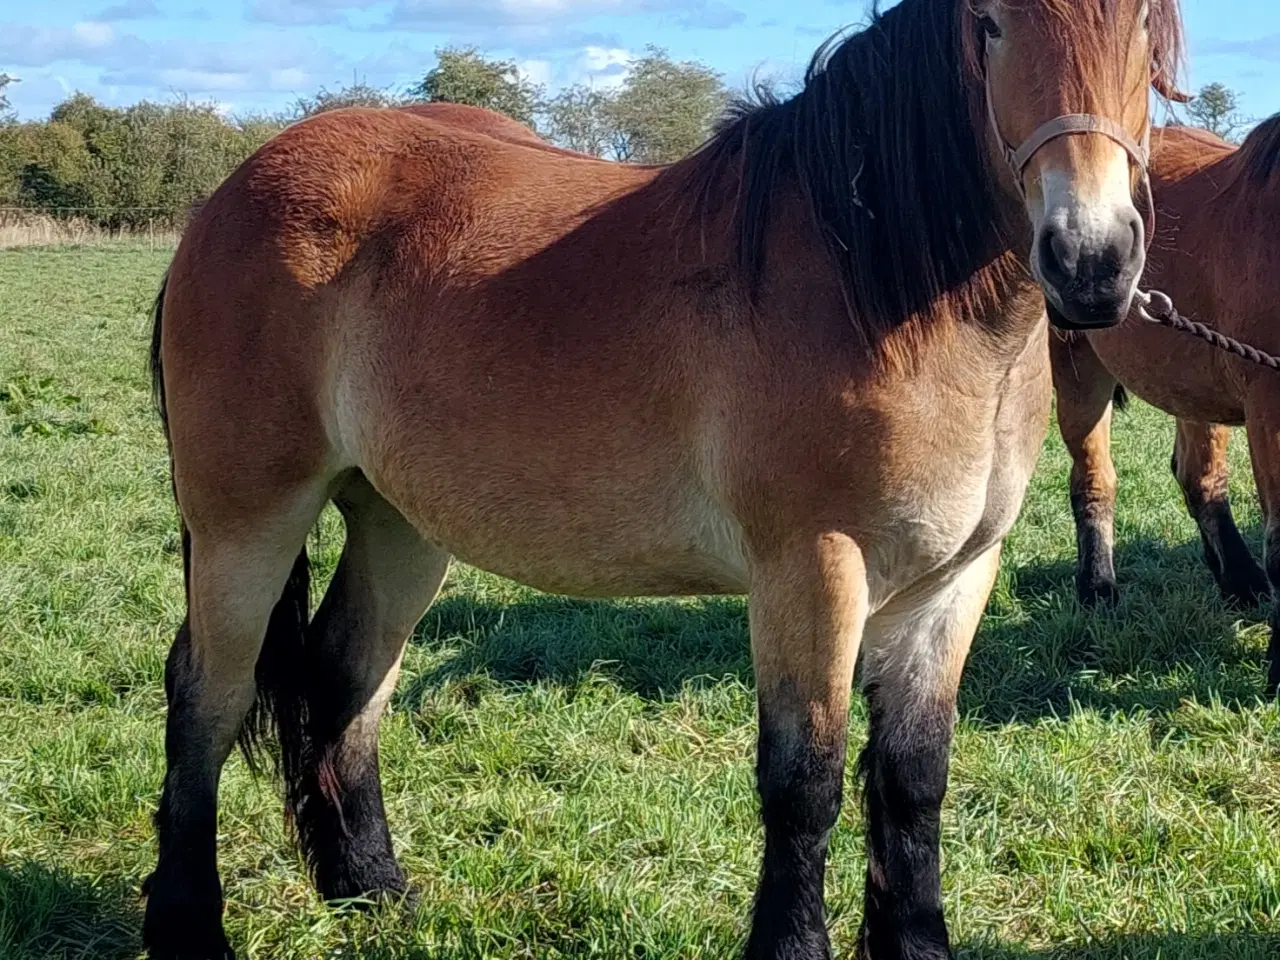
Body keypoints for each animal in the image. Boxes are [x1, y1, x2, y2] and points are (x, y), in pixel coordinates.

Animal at [142, 1, 1177, 960]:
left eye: (1145, 29)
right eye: (992, 26)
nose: (1090, 260)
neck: (872, 286)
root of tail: (235, 189)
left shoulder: (956, 577)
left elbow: (914, 775)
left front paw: (917, 941)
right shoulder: (812, 569)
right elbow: (805, 780)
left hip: (398, 523)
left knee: (348, 675)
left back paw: (370, 886)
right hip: (246, 520)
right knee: (207, 695)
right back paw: (189, 925)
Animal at [1049, 116, 1280, 691]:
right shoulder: (1269, 405)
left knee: (1200, 477)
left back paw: (1240, 581)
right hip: (1077, 366)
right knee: (1094, 479)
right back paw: (1097, 590)